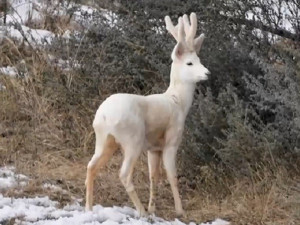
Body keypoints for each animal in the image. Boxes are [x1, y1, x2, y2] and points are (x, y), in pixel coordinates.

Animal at [85, 11, 210, 216]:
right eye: (190, 63)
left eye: (200, 60)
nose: (207, 73)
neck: (178, 102)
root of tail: (103, 116)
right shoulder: (171, 141)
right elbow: (172, 176)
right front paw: (179, 211)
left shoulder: (154, 148)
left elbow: (154, 176)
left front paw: (153, 208)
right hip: (132, 139)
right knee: (124, 174)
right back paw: (141, 211)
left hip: (104, 139)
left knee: (91, 166)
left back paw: (88, 208)